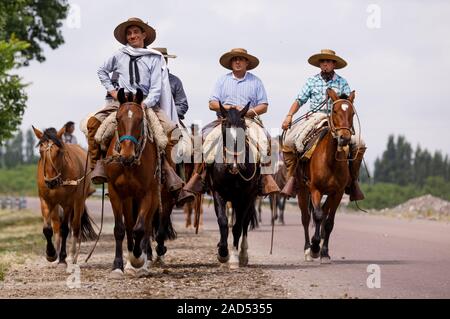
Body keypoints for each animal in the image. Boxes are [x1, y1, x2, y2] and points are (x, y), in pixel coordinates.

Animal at [33, 126, 96, 266]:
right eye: (40, 151)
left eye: (59, 152)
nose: (51, 182)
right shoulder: (45, 201)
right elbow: (47, 229)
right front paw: (51, 254)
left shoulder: (68, 203)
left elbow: (65, 229)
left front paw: (62, 257)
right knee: (56, 224)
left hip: (79, 201)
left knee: (75, 226)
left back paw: (73, 256)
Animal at [104, 88, 175, 278]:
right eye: (117, 119)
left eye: (140, 120)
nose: (126, 155)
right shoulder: (115, 193)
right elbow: (120, 229)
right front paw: (118, 265)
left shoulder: (147, 194)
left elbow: (141, 228)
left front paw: (138, 259)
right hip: (129, 198)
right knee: (129, 225)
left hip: (155, 198)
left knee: (147, 226)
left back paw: (143, 259)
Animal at [298, 88, 356, 264]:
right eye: (335, 110)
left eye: (352, 112)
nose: (344, 137)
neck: (330, 161)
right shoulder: (315, 189)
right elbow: (317, 216)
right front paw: (315, 247)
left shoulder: (337, 193)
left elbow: (329, 222)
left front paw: (324, 252)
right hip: (302, 190)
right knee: (306, 218)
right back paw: (307, 249)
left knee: (323, 213)